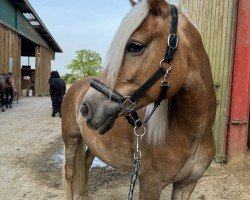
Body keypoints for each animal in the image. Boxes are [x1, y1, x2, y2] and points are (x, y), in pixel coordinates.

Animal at [61, 0, 216, 199]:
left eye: (135, 46)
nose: (87, 107)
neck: (193, 134)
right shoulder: (150, 185)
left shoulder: (186, 185)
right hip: (71, 139)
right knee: (70, 172)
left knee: (86, 164)